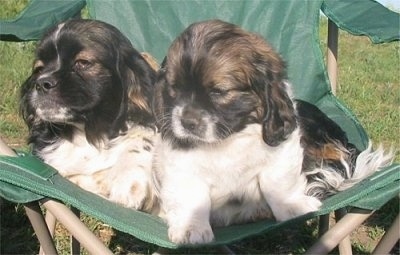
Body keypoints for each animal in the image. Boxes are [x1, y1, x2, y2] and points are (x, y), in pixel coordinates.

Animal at [20, 18, 158, 212]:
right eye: (39, 68)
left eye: (83, 62)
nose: (41, 83)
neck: (89, 134)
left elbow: (142, 140)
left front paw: (128, 181)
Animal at [152, 19, 392, 243]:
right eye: (174, 89)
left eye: (219, 91)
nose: (186, 122)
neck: (229, 138)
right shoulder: (180, 164)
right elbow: (191, 194)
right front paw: (191, 228)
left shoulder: (283, 152)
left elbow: (277, 183)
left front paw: (292, 207)